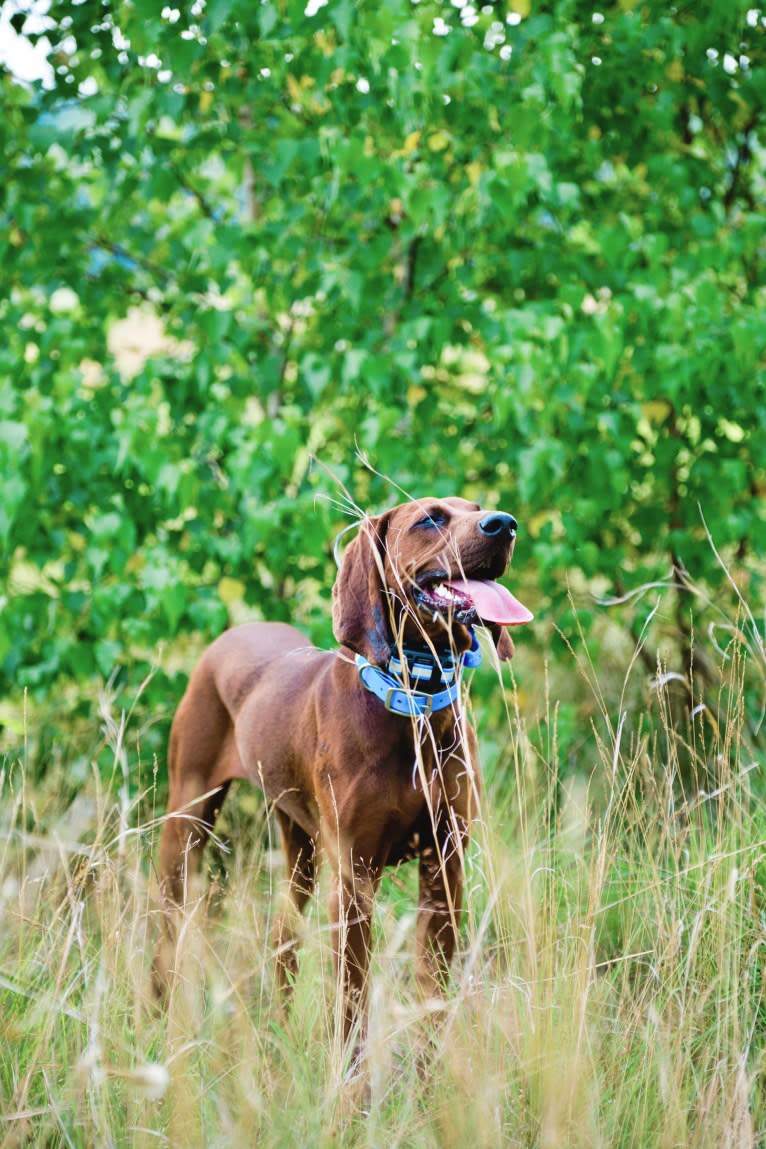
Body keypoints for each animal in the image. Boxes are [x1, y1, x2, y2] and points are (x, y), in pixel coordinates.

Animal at [158, 498, 530, 1038]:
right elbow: (351, 1005)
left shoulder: (444, 871)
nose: (504, 524)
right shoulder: (354, 880)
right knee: (165, 927)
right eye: (430, 519)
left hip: (298, 845)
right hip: (187, 822)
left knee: (284, 932)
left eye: (477, 508)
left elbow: (431, 996)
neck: (413, 703)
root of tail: (235, 631)